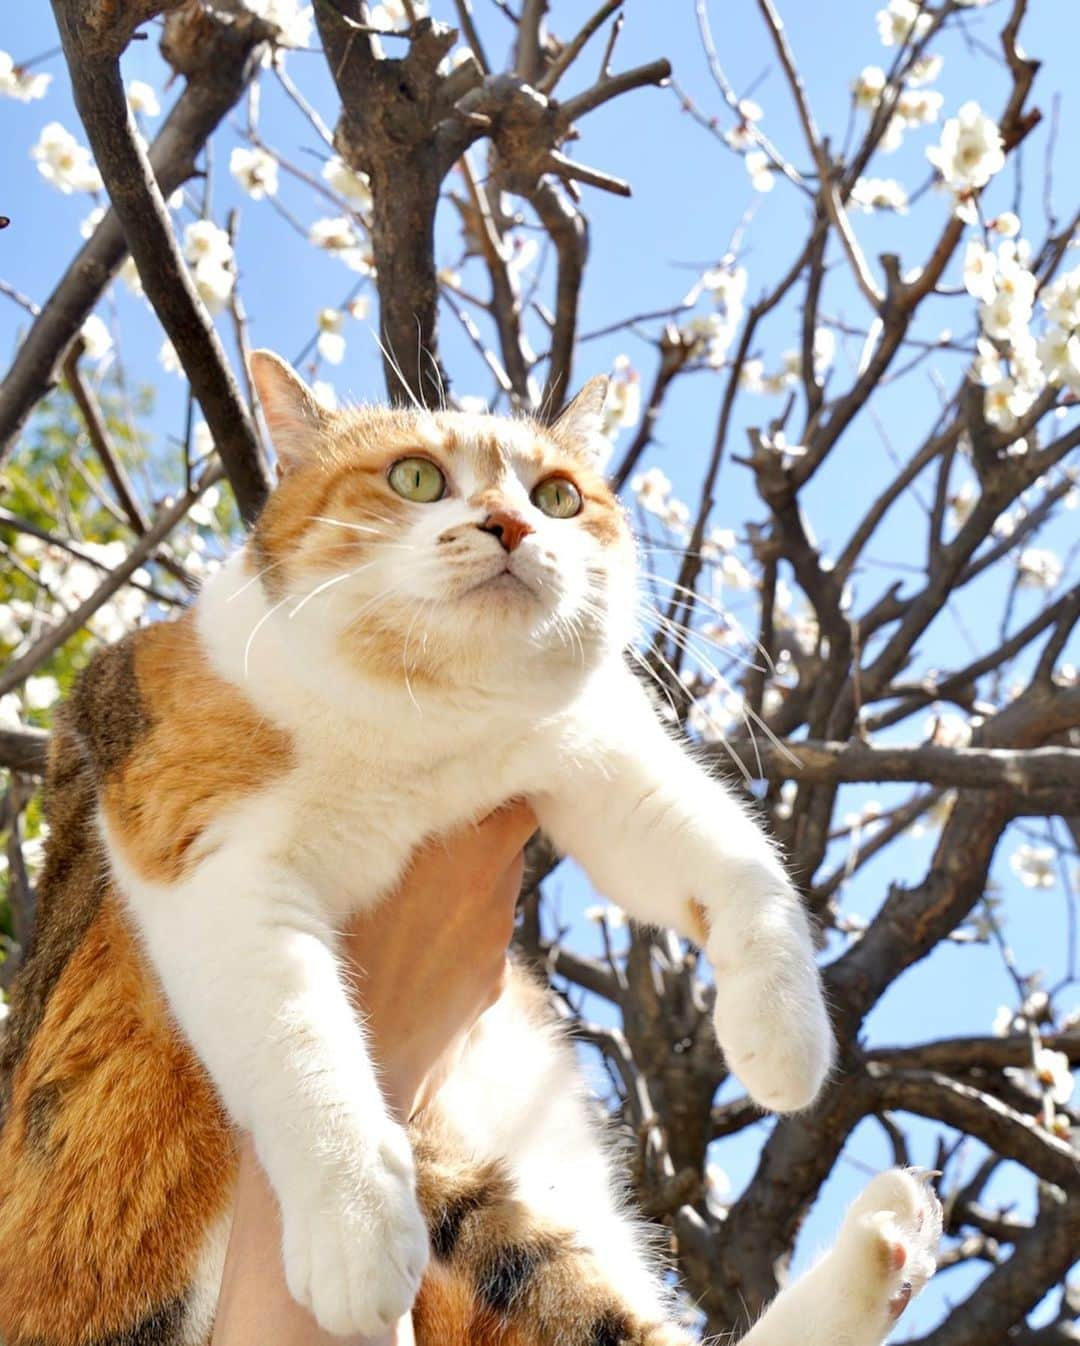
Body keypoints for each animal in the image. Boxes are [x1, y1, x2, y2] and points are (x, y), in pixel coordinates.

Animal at [0, 352, 931, 1346]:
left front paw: (783, 1040)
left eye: (559, 496)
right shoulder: (209, 856)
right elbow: (300, 1037)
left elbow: (738, 858)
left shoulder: (589, 763)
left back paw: (885, 1240)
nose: (512, 523)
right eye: (416, 478)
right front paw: (357, 1228)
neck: (433, 726)